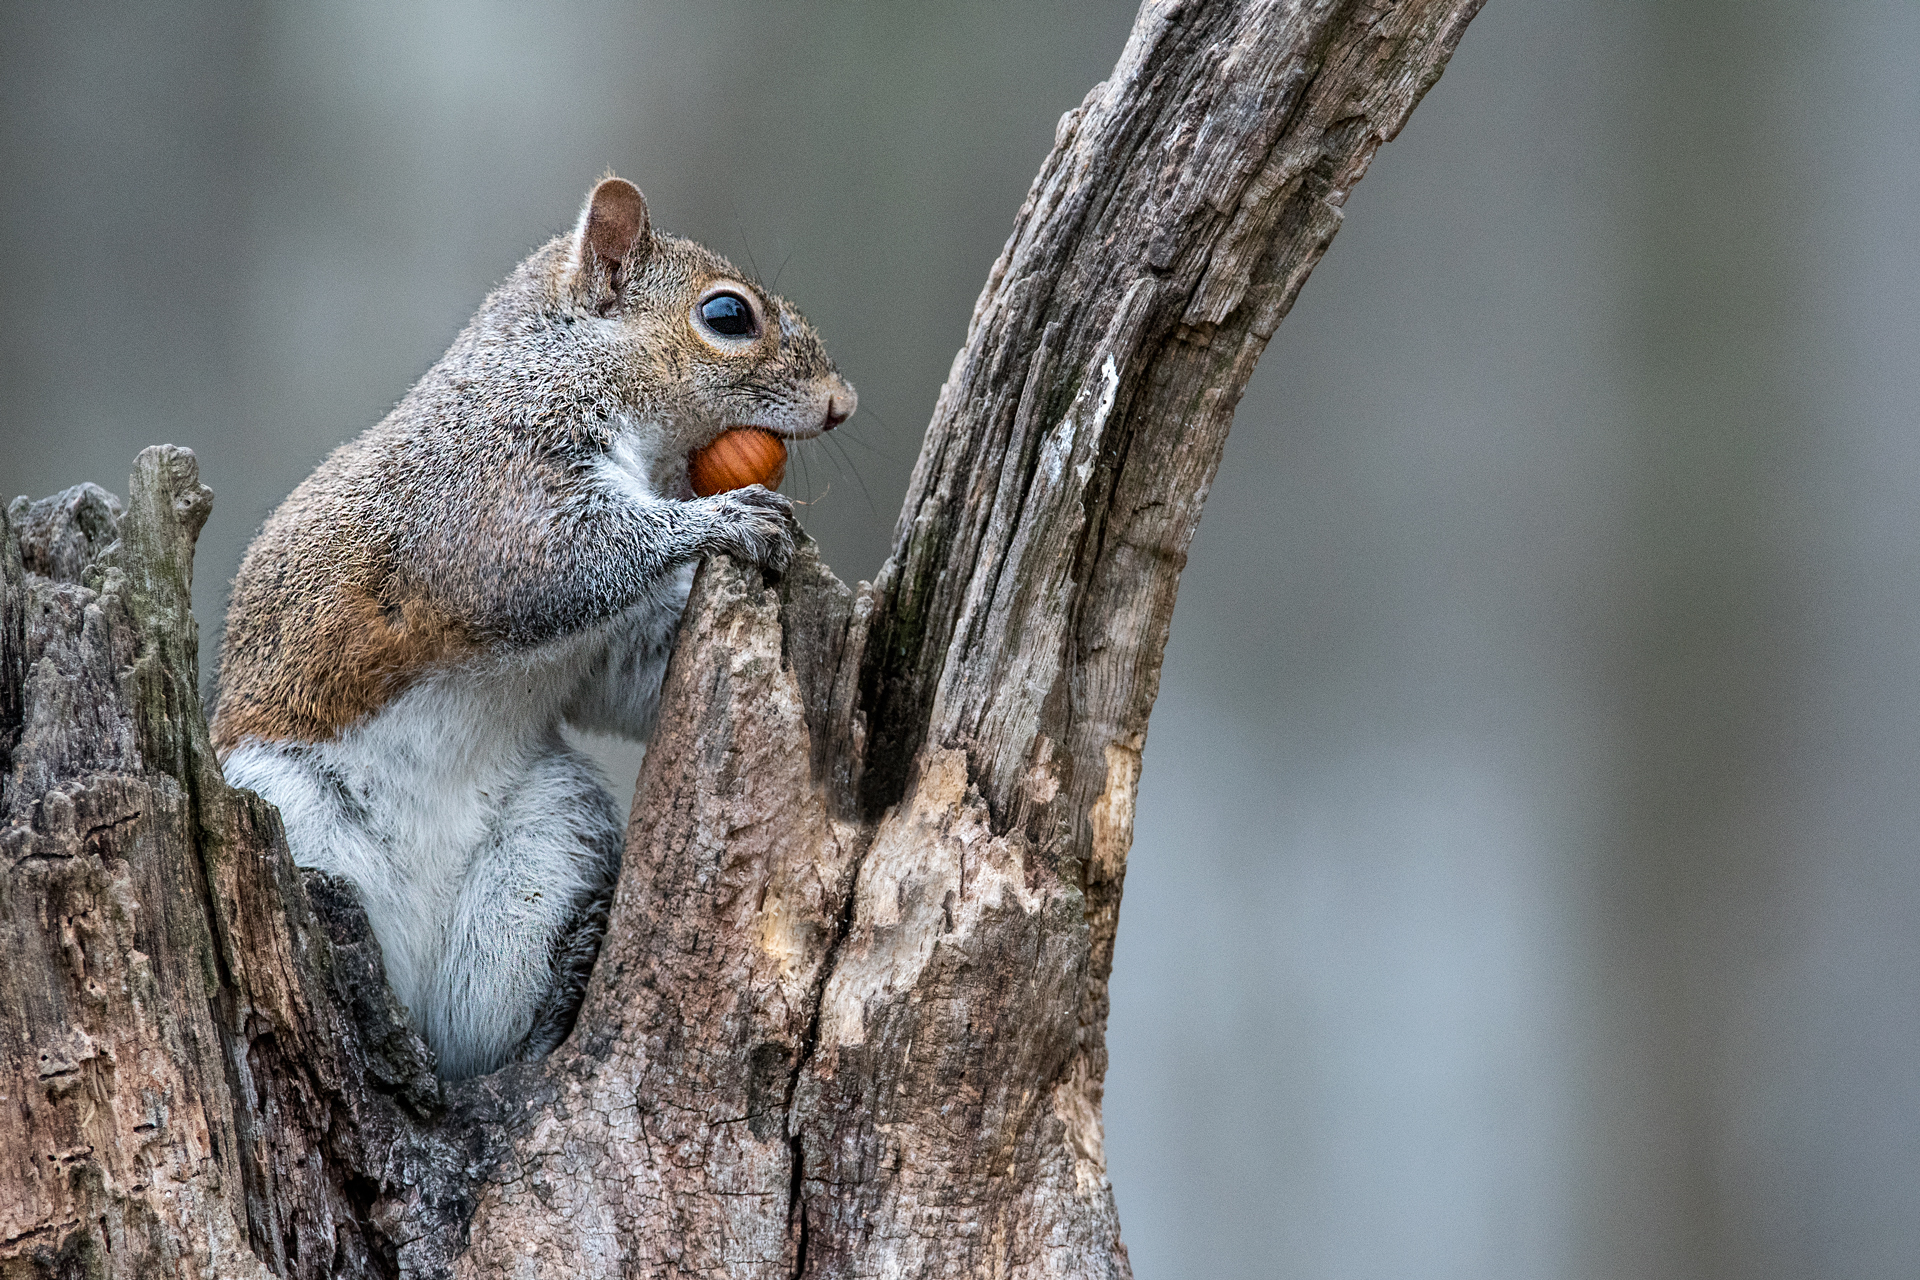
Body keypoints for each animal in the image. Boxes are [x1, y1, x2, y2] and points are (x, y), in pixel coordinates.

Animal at [211, 176, 854, 1081]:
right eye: (728, 316)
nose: (842, 403)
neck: (554, 363)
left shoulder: (607, 639)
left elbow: (628, 676)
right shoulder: (483, 491)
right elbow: (560, 558)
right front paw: (722, 519)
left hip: (546, 842)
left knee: (482, 1027)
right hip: (286, 809)